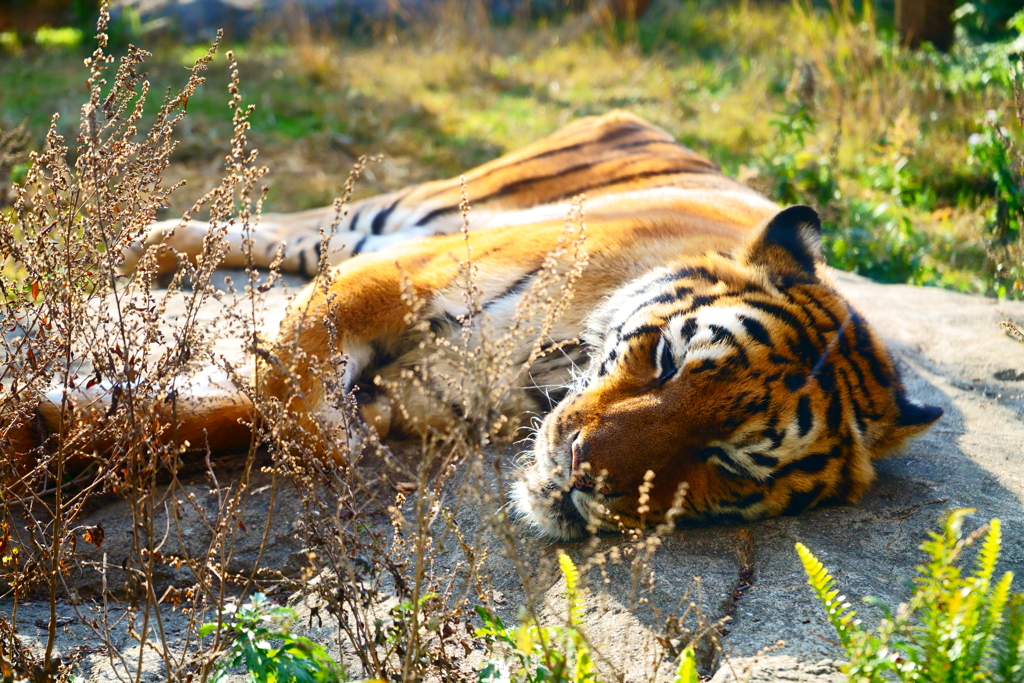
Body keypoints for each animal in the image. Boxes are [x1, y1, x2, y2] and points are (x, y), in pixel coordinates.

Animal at [6, 111, 942, 540]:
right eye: (671, 361)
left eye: (727, 461)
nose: (580, 469)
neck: (544, 370)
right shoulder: (412, 270)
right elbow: (290, 372)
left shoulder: (409, 395)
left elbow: (219, 415)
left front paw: (51, 431)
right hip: (410, 207)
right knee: (290, 228)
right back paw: (147, 248)